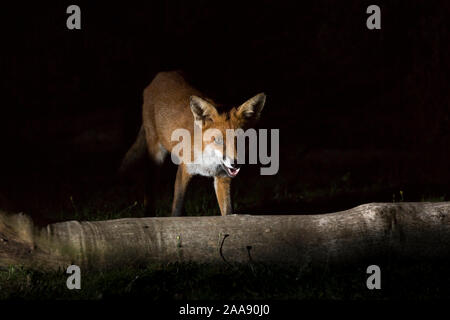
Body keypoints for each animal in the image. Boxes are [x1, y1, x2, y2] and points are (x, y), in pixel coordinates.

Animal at [121, 71, 266, 216]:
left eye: (243, 139)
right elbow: (177, 209)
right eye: (218, 140)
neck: (208, 162)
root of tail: (161, 74)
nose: (236, 163)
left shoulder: (222, 177)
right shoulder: (184, 170)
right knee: (150, 187)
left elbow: (227, 211)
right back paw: (148, 214)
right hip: (156, 156)